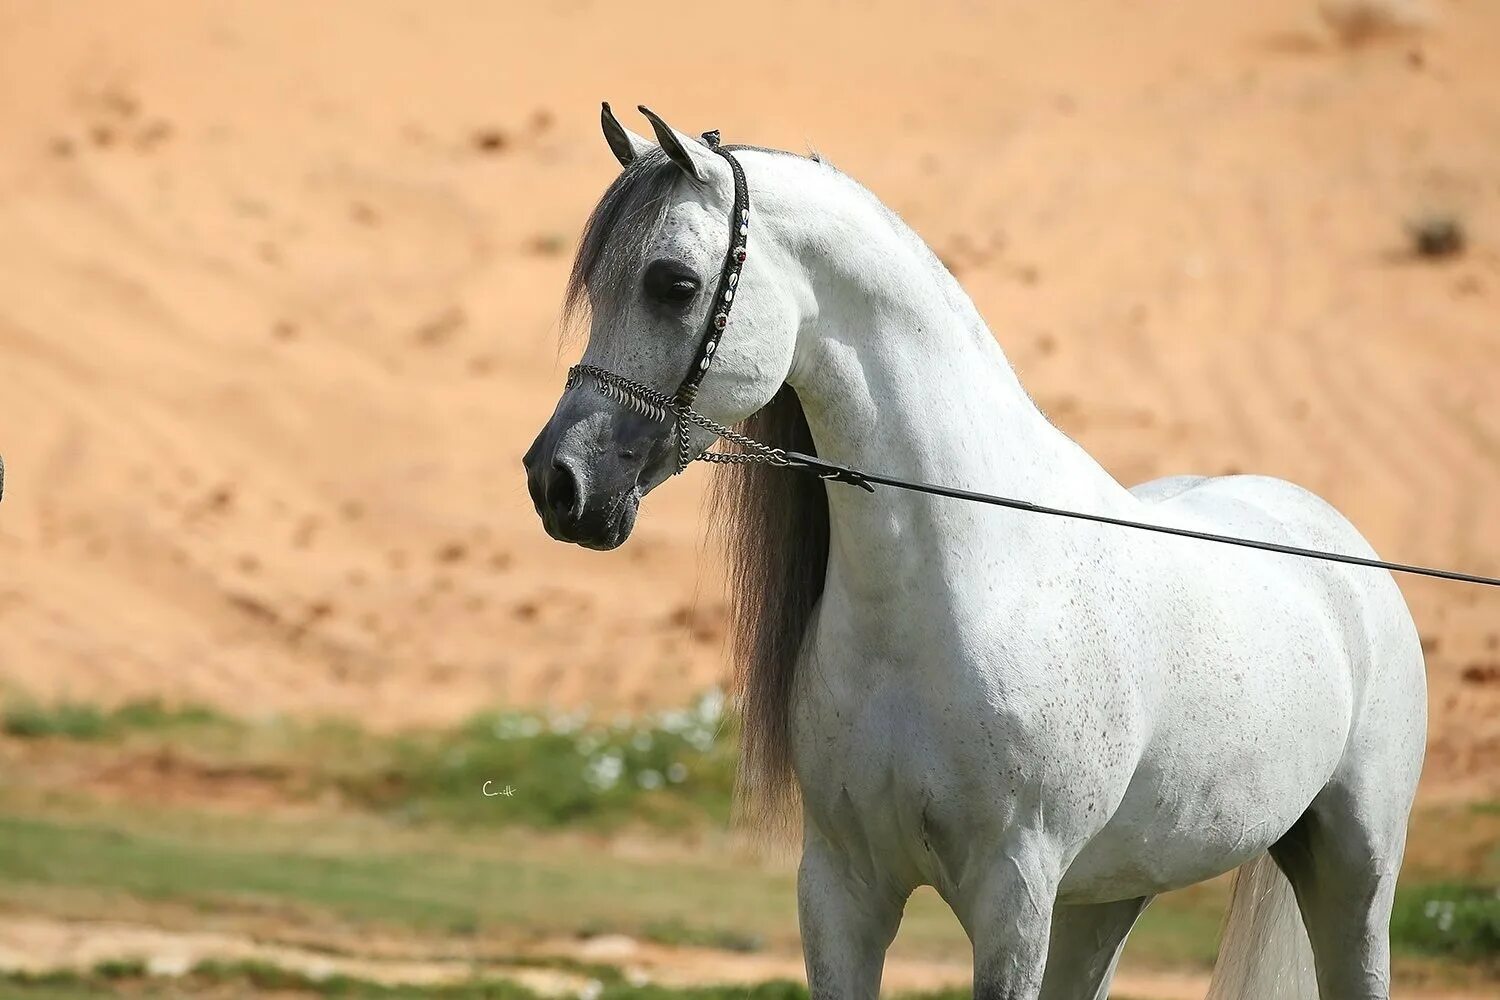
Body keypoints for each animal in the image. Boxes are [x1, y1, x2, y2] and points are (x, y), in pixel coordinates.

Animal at [528, 105, 1428, 995]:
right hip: (1108, 895)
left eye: (673, 284)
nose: (557, 482)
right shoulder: (842, 890)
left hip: (1354, 875)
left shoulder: (1012, 899)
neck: (958, 590)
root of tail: (1337, 542)